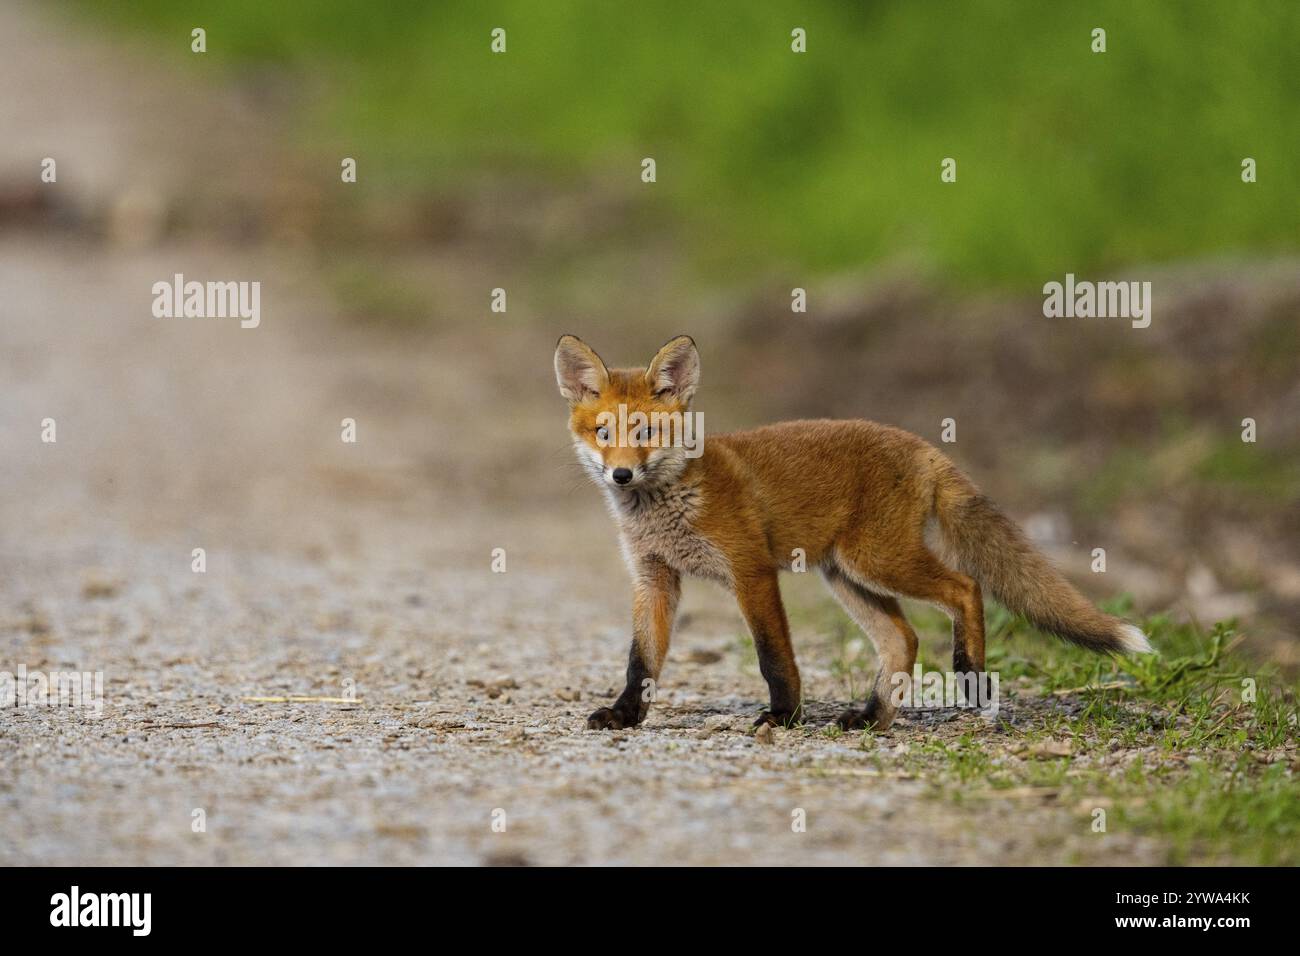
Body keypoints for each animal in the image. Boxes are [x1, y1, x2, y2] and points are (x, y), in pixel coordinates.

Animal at [554, 333, 1152, 732]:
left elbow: (773, 655)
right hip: (846, 576)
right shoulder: (655, 578)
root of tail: (920, 444)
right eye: (603, 433)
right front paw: (626, 714)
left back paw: (970, 673)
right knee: (903, 638)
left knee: (965, 587)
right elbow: (641, 660)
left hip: (878, 561)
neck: (670, 503)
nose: (621, 475)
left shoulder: (751, 571)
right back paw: (873, 716)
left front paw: (784, 715)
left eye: (646, 433)